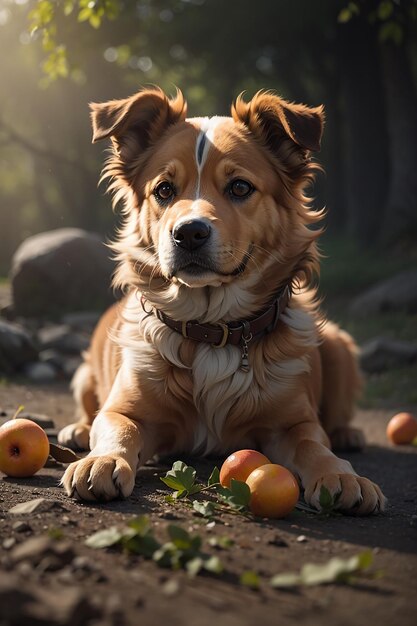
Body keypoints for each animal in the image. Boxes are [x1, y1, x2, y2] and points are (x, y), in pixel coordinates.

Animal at [57, 86, 384, 512]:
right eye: (164, 190)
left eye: (240, 187)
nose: (188, 233)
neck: (210, 327)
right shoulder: (125, 408)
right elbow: (118, 427)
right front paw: (102, 460)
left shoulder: (293, 422)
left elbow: (313, 445)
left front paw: (341, 474)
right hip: (83, 375)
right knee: (88, 409)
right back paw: (78, 430)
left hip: (339, 346)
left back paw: (348, 434)